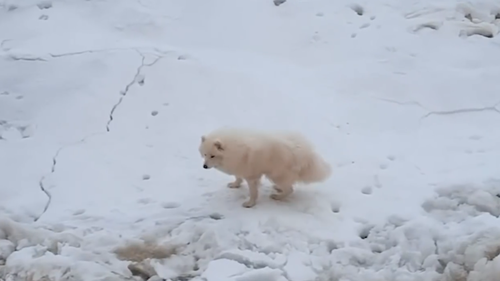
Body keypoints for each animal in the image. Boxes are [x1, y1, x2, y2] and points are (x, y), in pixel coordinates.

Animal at [198, 128, 332, 207]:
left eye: (213, 155)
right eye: (205, 154)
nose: (204, 166)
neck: (233, 150)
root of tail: (306, 154)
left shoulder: (251, 176)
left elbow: (253, 192)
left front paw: (250, 203)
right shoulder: (240, 167)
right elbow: (238, 177)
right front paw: (235, 184)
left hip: (276, 174)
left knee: (290, 189)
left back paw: (277, 196)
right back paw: (278, 189)